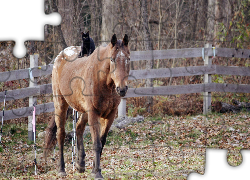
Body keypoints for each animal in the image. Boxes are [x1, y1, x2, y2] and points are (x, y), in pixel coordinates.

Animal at [44, 34, 130, 179]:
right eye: (112, 59)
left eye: (128, 59)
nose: (122, 89)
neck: (103, 81)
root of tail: (60, 56)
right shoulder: (94, 114)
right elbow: (96, 143)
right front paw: (98, 173)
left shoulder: (110, 115)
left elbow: (102, 141)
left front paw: (94, 169)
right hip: (61, 105)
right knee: (60, 134)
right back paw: (61, 169)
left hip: (84, 111)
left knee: (78, 128)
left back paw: (80, 164)